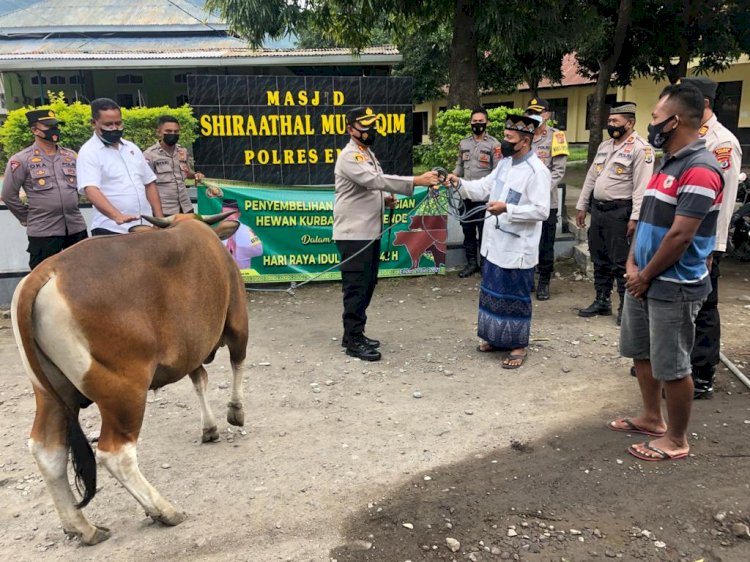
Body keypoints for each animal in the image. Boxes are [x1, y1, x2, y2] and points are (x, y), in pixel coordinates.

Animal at [10, 211, 250, 544]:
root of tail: (45, 273)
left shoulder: (190, 349)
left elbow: (199, 380)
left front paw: (210, 428)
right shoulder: (237, 320)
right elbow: (237, 363)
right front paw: (235, 412)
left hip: (51, 392)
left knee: (47, 450)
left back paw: (83, 528)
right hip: (125, 391)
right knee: (116, 454)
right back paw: (164, 510)